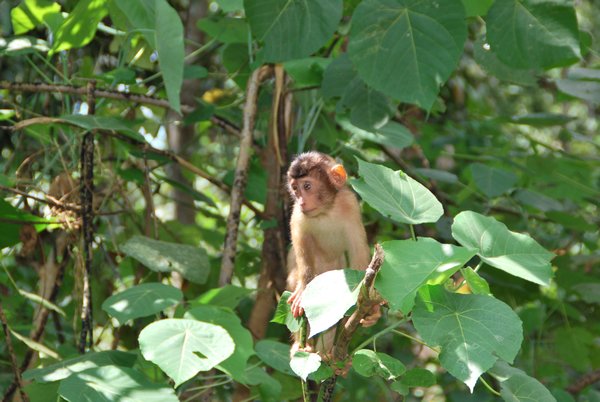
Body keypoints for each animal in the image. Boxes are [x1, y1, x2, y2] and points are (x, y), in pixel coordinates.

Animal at [286, 151, 380, 354]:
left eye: (307, 186)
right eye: (295, 189)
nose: (302, 201)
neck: (325, 212)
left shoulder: (350, 205)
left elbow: (358, 255)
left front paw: (372, 309)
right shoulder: (298, 215)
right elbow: (301, 248)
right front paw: (302, 290)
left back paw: (328, 353)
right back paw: (303, 346)